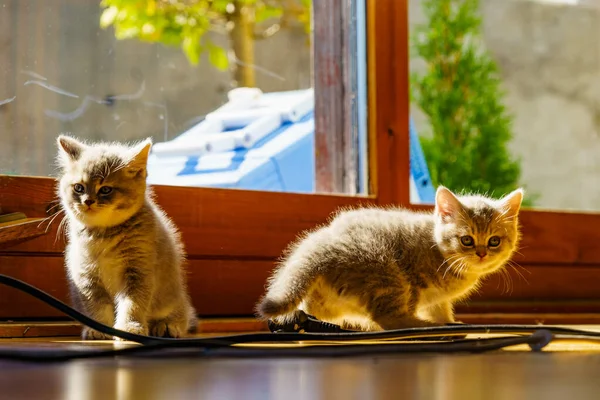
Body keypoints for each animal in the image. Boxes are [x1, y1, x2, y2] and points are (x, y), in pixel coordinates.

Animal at [56, 136, 197, 340]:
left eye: (105, 189)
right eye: (79, 188)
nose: (88, 201)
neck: (104, 235)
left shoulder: (139, 271)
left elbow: (134, 304)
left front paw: (130, 327)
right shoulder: (86, 276)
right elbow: (96, 306)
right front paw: (99, 328)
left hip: (172, 295)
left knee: (182, 313)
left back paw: (167, 325)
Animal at [255, 186, 524, 330]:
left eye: (494, 241)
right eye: (466, 240)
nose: (482, 253)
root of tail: (322, 244)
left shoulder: (437, 299)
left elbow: (440, 307)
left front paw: (449, 320)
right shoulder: (413, 280)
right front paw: (438, 323)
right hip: (386, 271)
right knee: (387, 319)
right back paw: (422, 325)